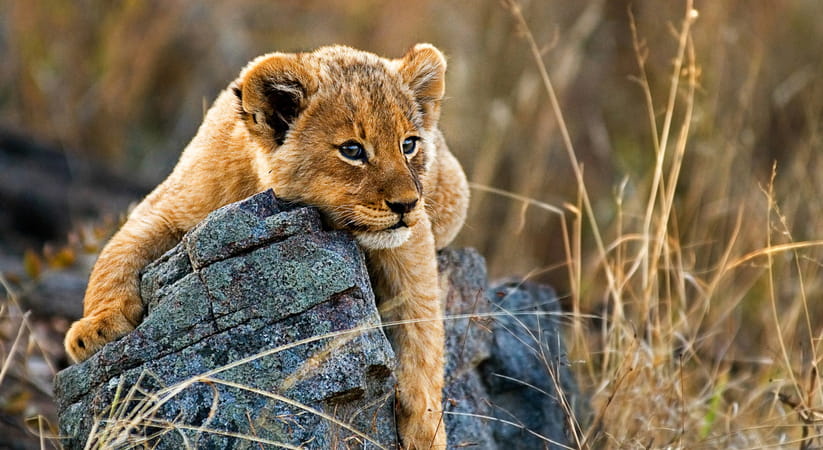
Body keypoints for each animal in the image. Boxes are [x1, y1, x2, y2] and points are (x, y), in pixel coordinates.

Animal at [64, 44, 469, 449]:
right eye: (352, 150)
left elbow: (423, 329)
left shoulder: (412, 241)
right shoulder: (166, 205)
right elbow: (116, 253)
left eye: (409, 144)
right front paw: (94, 330)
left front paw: (426, 427)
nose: (407, 204)